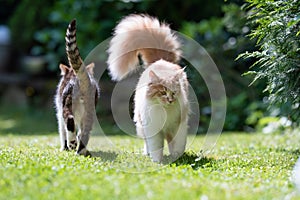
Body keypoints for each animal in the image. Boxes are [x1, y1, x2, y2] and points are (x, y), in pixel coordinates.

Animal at [54, 19, 100, 156]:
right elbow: (79, 132)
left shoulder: (59, 114)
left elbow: (62, 132)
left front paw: (64, 147)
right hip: (90, 111)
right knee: (85, 132)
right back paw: (81, 150)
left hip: (67, 105)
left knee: (69, 120)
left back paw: (72, 143)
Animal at [106, 14, 189, 162]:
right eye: (163, 92)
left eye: (174, 92)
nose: (170, 100)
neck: (164, 111)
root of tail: (160, 60)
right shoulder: (153, 128)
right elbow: (156, 146)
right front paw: (157, 161)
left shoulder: (177, 125)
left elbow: (177, 144)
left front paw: (176, 156)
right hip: (141, 124)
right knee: (146, 143)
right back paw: (147, 153)